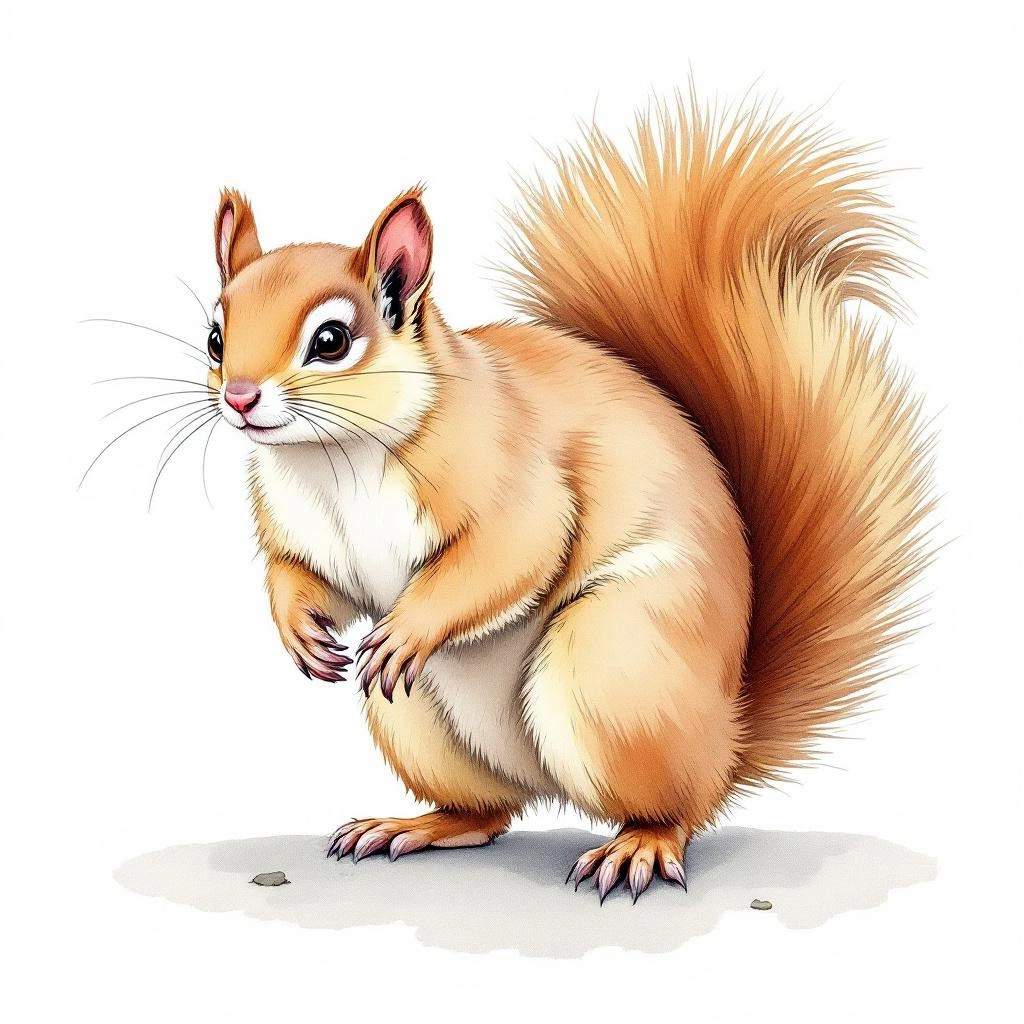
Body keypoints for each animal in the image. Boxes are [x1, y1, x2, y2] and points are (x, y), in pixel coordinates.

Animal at [207, 96, 933, 902]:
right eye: (215, 337)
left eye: (331, 340)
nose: (239, 397)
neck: (332, 459)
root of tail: (729, 733)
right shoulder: (302, 530)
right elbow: (303, 577)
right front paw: (299, 630)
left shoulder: (514, 476)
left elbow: (513, 550)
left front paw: (407, 627)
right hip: (416, 720)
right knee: (488, 813)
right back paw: (413, 826)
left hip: (612, 667)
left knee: (677, 808)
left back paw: (639, 845)